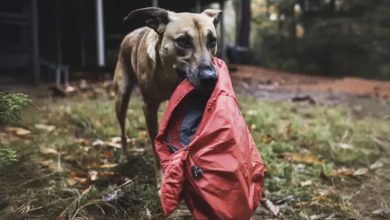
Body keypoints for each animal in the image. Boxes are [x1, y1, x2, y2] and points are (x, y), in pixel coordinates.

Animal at [114, 6, 221, 169]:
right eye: (183, 41)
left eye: (212, 41)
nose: (210, 79)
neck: (169, 78)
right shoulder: (149, 108)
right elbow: (155, 147)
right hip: (121, 96)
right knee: (122, 130)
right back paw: (124, 156)